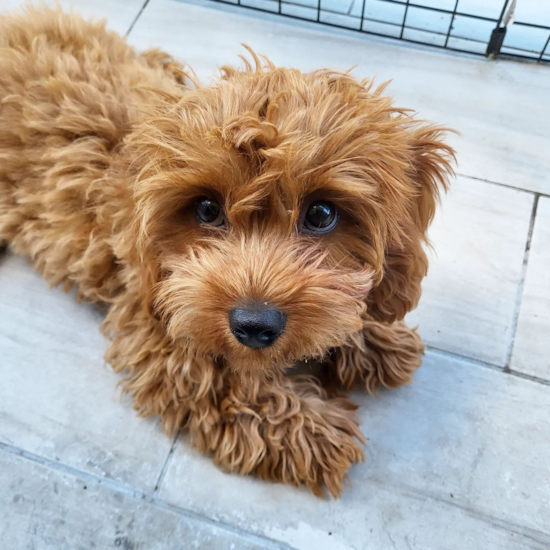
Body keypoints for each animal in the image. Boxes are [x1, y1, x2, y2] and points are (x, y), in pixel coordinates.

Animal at [1, 6, 458, 500]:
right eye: (206, 209)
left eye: (321, 213)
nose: (254, 325)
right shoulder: (156, 324)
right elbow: (221, 383)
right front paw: (315, 434)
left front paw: (374, 339)